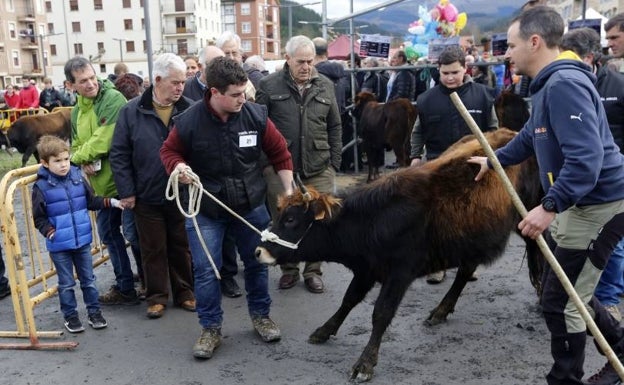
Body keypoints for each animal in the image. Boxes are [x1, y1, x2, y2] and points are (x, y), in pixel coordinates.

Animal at [256, 128, 544, 380]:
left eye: (291, 219)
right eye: (279, 214)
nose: (259, 250)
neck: (375, 219)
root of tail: (511, 132)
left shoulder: (399, 272)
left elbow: (381, 313)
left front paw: (365, 363)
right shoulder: (366, 269)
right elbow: (349, 300)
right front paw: (325, 330)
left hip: (526, 218)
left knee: (538, 251)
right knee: (465, 271)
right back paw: (441, 310)